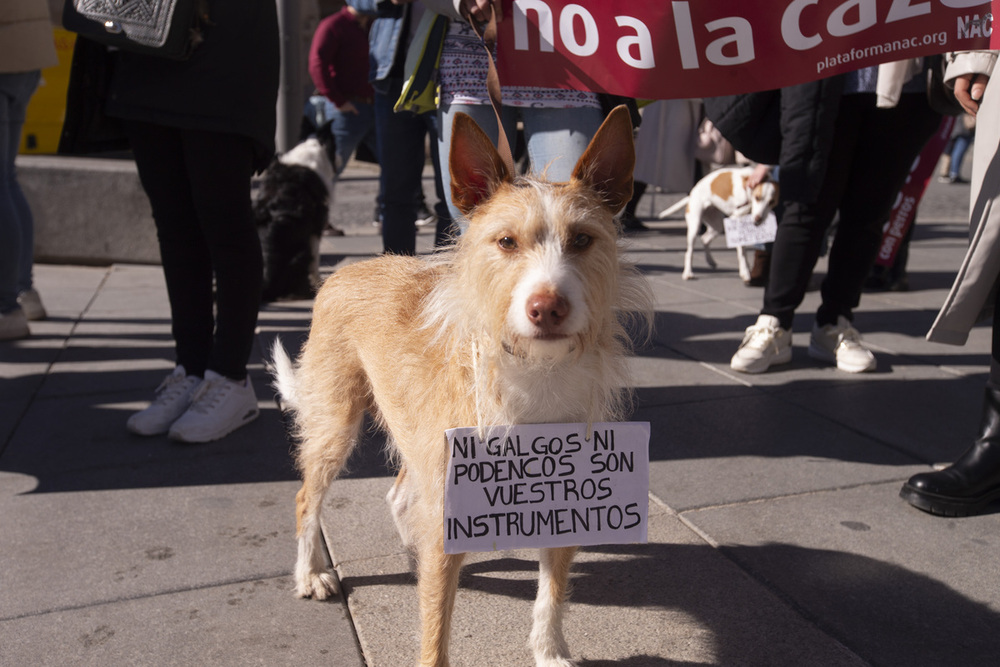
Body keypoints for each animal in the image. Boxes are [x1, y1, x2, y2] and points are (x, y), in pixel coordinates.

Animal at [254, 122, 340, 302]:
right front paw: (318, 283)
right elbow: (315, 260)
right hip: (301, 252)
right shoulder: (316, 227)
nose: (340, 157)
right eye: (335, 146)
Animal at [270, 107, 652, 664]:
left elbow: (551, 592)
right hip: (335, 426)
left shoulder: (563, 503)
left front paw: (550, 651)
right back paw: (312, 574)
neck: (532, 373)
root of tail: (346, 270)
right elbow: (434, 634)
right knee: (306, 500)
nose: (547, 308)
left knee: (399, 498)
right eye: (506, 242)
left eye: (582, 240)